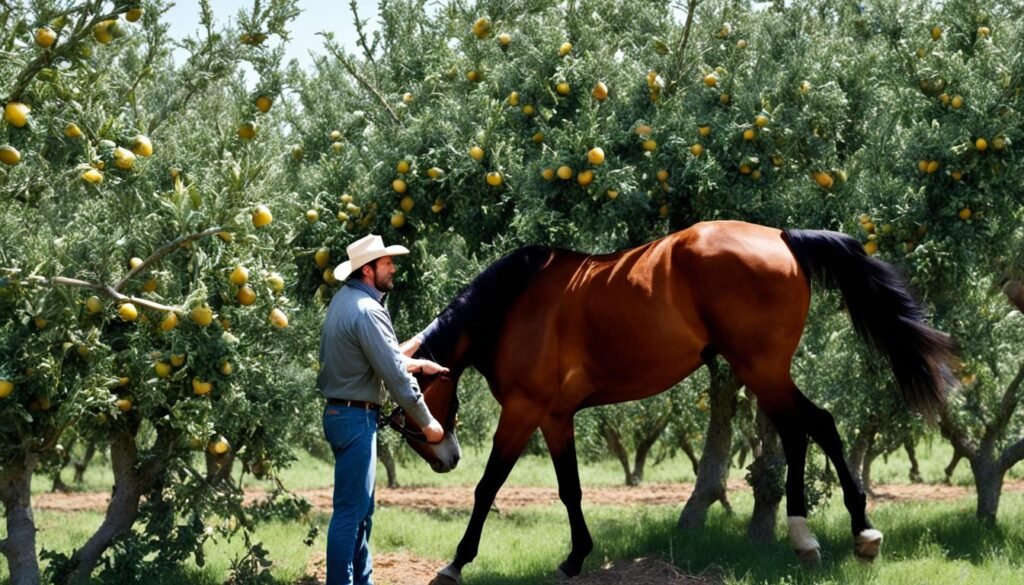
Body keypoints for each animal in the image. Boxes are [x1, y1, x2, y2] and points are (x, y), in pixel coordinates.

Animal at [387, 222, 954, 581]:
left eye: (404, 407)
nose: (445, 459)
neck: (515, 305)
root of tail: (780, 237)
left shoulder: (524, 411)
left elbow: (487, 487)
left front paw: (456, 563)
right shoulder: (556, 417)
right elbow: (570, 490)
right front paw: (575, 558)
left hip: (762, 369)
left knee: (811, 426)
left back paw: (834, 534)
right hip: (767, 372)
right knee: (810, 429)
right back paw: (836, 536)